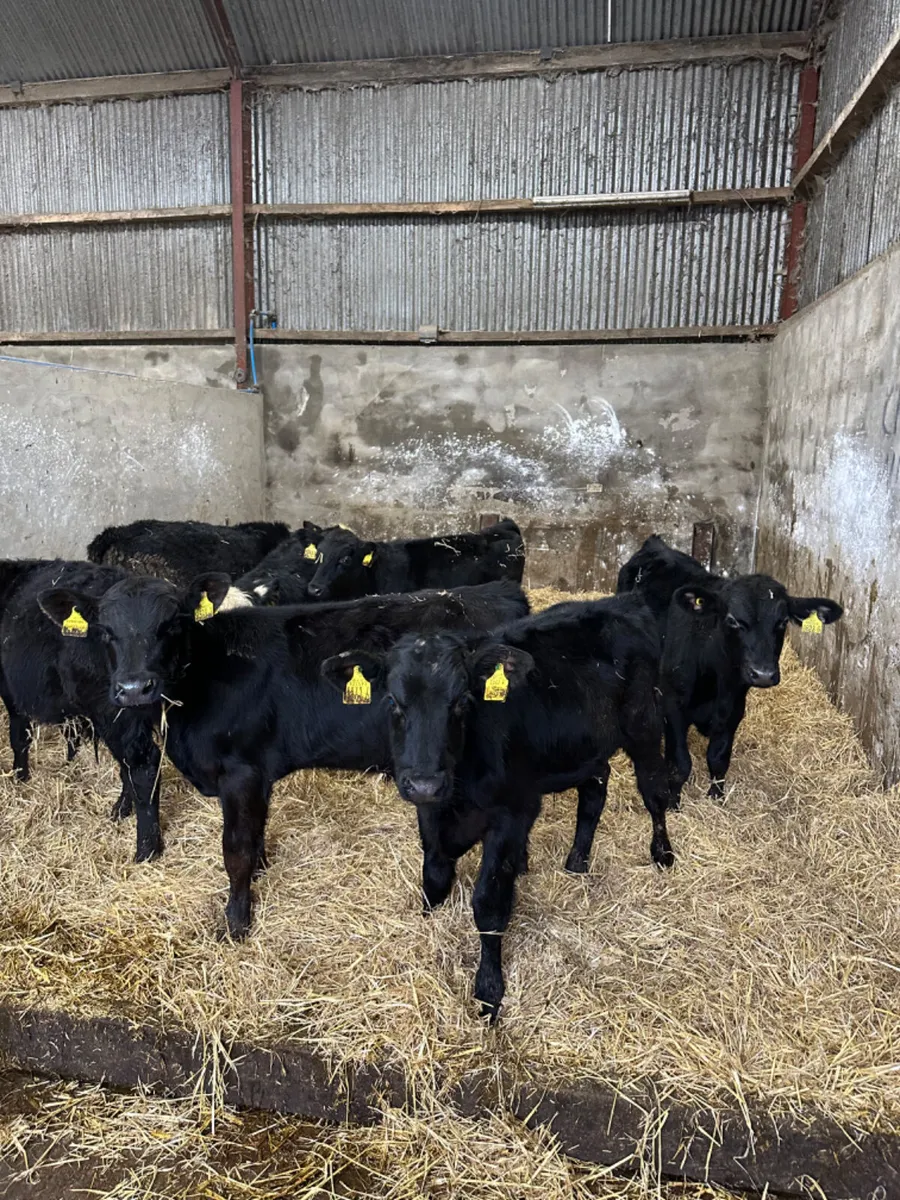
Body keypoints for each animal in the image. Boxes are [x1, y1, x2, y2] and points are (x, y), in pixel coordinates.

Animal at [0, 560, 163, 861]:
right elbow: (71, 734)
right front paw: (69, 760)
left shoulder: (11, 691)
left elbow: (19, 737)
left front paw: (20, 776)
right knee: (131, 767)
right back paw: (121, 809)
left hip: (116, 713)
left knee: (143, 766)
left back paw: (146, 849)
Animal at [37, 575, 530, 937]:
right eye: (105, 630)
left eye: (171, 625)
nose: (135, 688)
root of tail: (499, 590)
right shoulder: (258, 773)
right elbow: (256, 835)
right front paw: (258, 877)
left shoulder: (241, 772)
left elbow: (235, 849)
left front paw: (236, 923)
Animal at [324, 592, 675, 1020]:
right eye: (393, 701)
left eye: (461, 702)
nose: (425, 783)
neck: (460, 792)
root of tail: (623, 600)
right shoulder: (431, 812)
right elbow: (434, 877)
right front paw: (428, 925)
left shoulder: (510, 813)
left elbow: (488, 903)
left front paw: (489, 990)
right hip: (587, 747)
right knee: (595, 792)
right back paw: (577, 862)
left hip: (645, 724)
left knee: (654, 791)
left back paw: (662, 854)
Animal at [617, 536, 843, 802]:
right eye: (733, 620)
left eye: (782, 621)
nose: (763, 674)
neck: (716, 678)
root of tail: (656, 544)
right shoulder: (672, 705)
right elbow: (680, 765)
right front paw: (673, 802)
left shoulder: (734, 707)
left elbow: (718, 757)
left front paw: (716, 796)